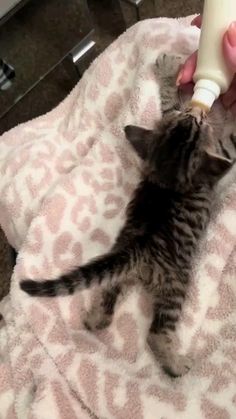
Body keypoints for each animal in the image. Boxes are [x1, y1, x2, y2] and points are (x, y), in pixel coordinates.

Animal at [20, 104, 234, 378]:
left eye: (184, 117)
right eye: (195, 122)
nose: (195, 111)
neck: (167, 177)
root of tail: (136, 249)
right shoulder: (217, 162)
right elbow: (229, 148)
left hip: (115, 261)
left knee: (108, 288)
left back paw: (96, 318)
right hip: (176, 283)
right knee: (156, 333)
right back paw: (175, 364)